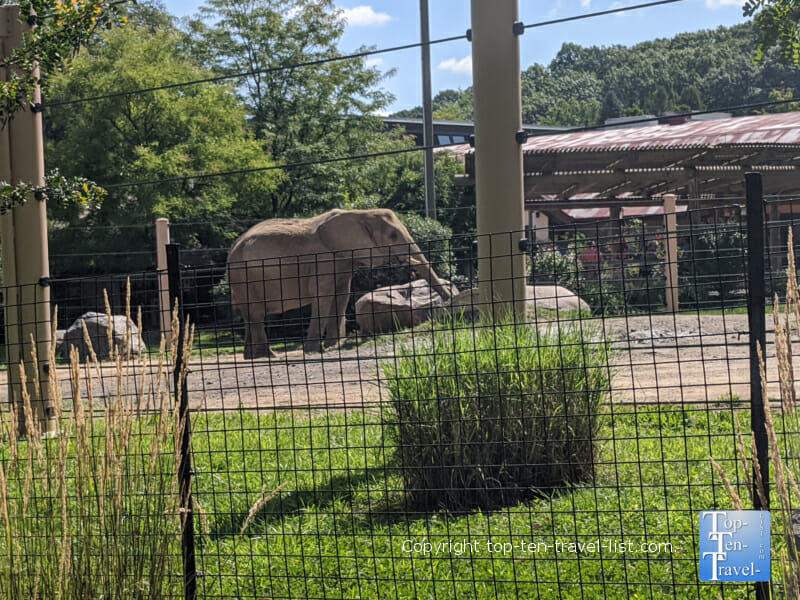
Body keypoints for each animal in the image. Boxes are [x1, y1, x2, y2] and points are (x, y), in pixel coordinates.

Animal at [228, 207, 454, 356]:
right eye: (392, 235)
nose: (449, 301)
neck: (358, 213)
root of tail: (230, 252)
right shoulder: (324, 259)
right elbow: (325, 295)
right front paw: (314, 351)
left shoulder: (344, 259)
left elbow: (342, 295)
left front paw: (332, 346)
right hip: (244, 277)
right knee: (257, 314)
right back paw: (268, 356)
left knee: (249, 315)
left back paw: (252, 357)